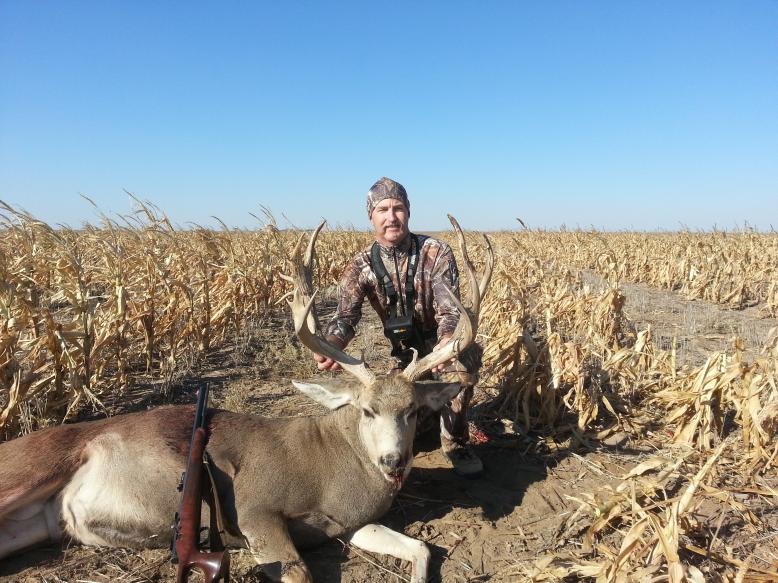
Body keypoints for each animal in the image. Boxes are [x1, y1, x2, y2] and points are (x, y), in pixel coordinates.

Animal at [0, 216, 493, 583]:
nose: (393, 461)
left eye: (412, 411)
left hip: (36, 523)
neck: (334, 466)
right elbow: (297, 572)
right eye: (367, 410)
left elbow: (422, 548)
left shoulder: (349, 524)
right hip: (29, 468)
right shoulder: (255, 506)